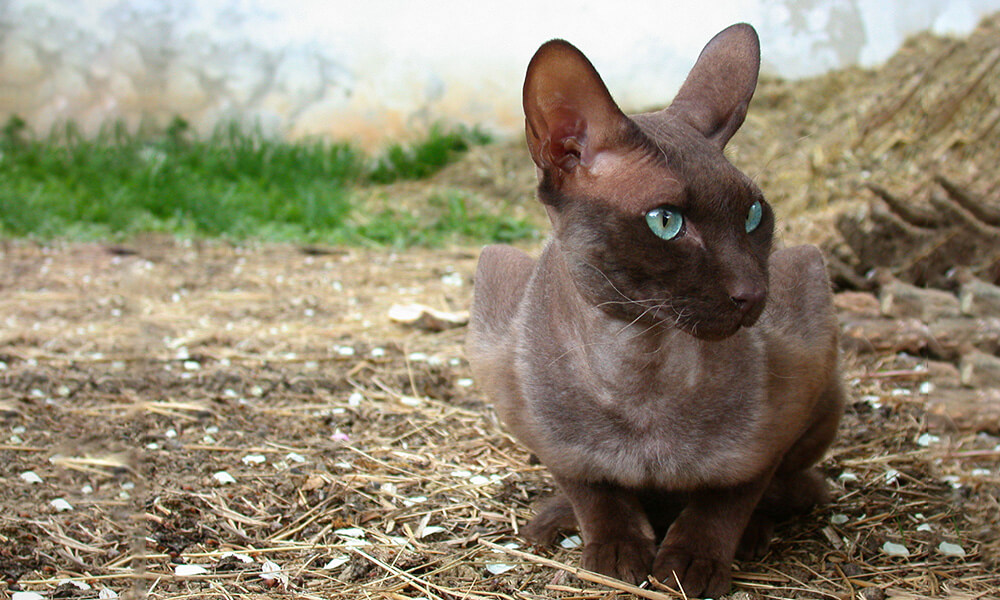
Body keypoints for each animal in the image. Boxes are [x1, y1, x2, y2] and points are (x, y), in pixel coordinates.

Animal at [466, 22, 844, 596]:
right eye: (666, 222)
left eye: (755, 216)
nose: (754, 293)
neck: (639, 358)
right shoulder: (547, 435)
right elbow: (593, 491)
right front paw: (617, 554)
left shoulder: (779, 418)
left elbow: (726, 501)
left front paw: (690, 567)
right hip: (495, 283)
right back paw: (553, 520)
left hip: (813, 300)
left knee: (797, 488)